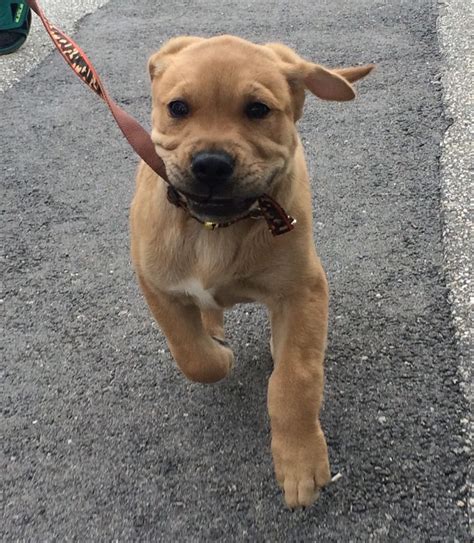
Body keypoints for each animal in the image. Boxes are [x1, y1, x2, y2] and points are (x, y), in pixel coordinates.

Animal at [131, 35, 374, 510]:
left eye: (258, 110)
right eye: (178, 108)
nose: (210, 164)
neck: (216, 229)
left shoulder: (304, 291)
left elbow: (295, 378)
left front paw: (299, 459)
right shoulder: (157, 285)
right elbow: (192, 355)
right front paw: (218, 354)